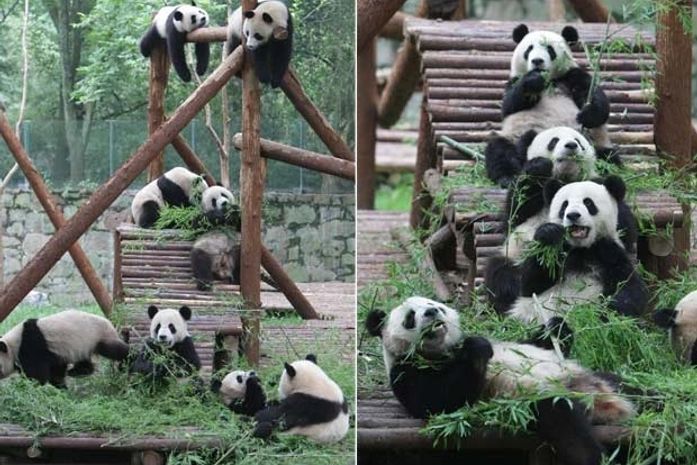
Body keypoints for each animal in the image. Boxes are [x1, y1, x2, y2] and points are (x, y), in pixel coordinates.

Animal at [0, 310, 129, 388]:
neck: (13, 344)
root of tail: (110, 324)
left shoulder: (32, 345)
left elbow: (37, 373)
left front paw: (28, 386)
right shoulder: (55, 352)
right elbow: (57, 370)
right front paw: (60, 386)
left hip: (98, 336)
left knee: (115, 350)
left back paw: (129, 361)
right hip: (84, 345)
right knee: (84, 361)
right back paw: (76, 372)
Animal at [366, 297, 635, 465]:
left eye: (435, 305)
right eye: (410, 317)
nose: (432, 313)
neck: (444, 351)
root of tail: (604, 405)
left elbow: (540, 342)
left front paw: (555, 326)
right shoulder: (406, 371)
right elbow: (438, 401)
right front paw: (477, 348)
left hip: (602, 379)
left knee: (632, 387)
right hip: (533, 401)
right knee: (568, 428)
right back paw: (597, 457)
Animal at [484, 127, 636, 314]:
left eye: (578, 141)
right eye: (554, 141)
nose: (571, 145)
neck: (566, 178)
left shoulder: (597, 183)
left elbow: (625, 228)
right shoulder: (525, 203)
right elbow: (515, 212)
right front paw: (539, 167)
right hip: (513, 255)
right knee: (501, 272)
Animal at [485, 24, 613, 187]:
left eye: (550, 49)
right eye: (529, 49)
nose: (537, 61)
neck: (550, 81)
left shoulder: (570, 76)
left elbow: (595, 96)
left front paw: (588, 114)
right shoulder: (514, 82)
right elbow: (509, 105)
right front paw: (533, 80)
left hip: (594, 142)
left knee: (608, 156)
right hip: (514, 138)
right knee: (500, 150)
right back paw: (509, 177)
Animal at [508, 176, 648, 326]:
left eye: (588, 202)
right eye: (564, 205)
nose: (573, 215)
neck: (581, 248)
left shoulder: (608, 251)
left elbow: (631, 289)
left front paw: (607, 313)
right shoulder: (563, 250)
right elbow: (529, 285)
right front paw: (548, 233)